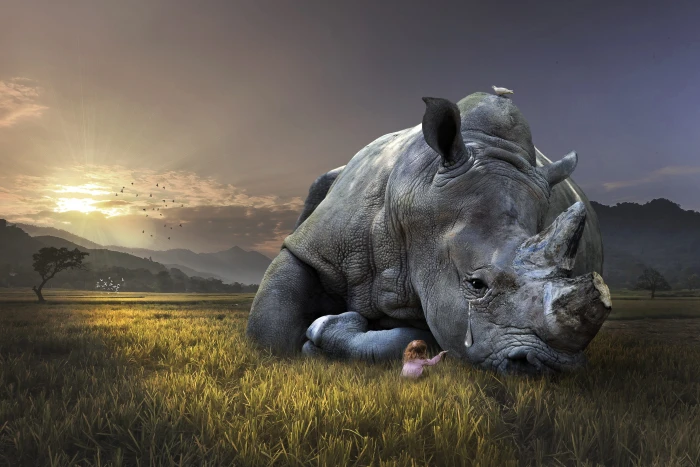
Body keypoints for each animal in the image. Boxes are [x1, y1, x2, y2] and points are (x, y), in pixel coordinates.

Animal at [246, 92, 612, 375]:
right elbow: (270, 330)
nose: (551, 366)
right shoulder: (317, 246)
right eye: (476, 284)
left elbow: (415, 340)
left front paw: (324, 334)